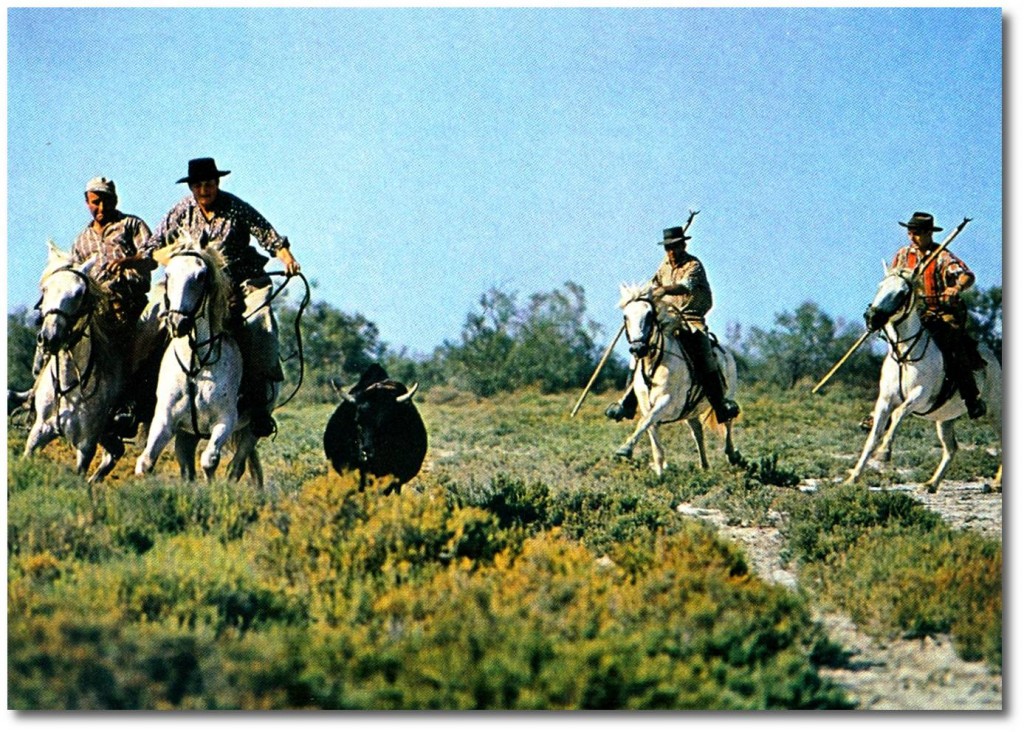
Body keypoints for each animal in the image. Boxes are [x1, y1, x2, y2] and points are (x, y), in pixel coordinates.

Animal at [23, 241, 126, 481]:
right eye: (45, 289)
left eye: (79, 293)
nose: (50, 337)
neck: (68, 385)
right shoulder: (39, 431)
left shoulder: (86, 445)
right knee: (114, 452)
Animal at [134, 236, 264, 487]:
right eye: (168, 275)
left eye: (201, 276)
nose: (178, 323)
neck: (196, 364)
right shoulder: (165, 420)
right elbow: (145, 461)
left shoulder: (225, 421)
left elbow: (209, 460)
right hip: (188, 434)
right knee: (188, 465)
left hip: (251, 429)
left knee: (237, 465)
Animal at [610, 280, 741, 475]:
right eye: (626, 317)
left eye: (649, 315)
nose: (637, 349)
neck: (655, 363)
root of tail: (726, 352)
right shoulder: (647, 406)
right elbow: (651, 432)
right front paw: (660, 471)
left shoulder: (667, 401)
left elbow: (644, 422)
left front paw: (625, 449)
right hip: (691, 410)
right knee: (697, 431)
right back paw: (704, 466)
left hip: (727, 396)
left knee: (727, 422)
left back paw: (732, 455)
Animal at [843, 268, 1003, 493]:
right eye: (880, 286)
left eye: (902, 292)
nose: (872, 317)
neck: (904, 354)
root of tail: (993, 357)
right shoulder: (884, 400)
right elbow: (873, 437)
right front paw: (853, 478)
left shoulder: (920, 395)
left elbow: (899, 413)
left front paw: (884, 452)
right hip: (945, 418)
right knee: (951, 449)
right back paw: (931, 483)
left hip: (995, 410)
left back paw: (996, 483)